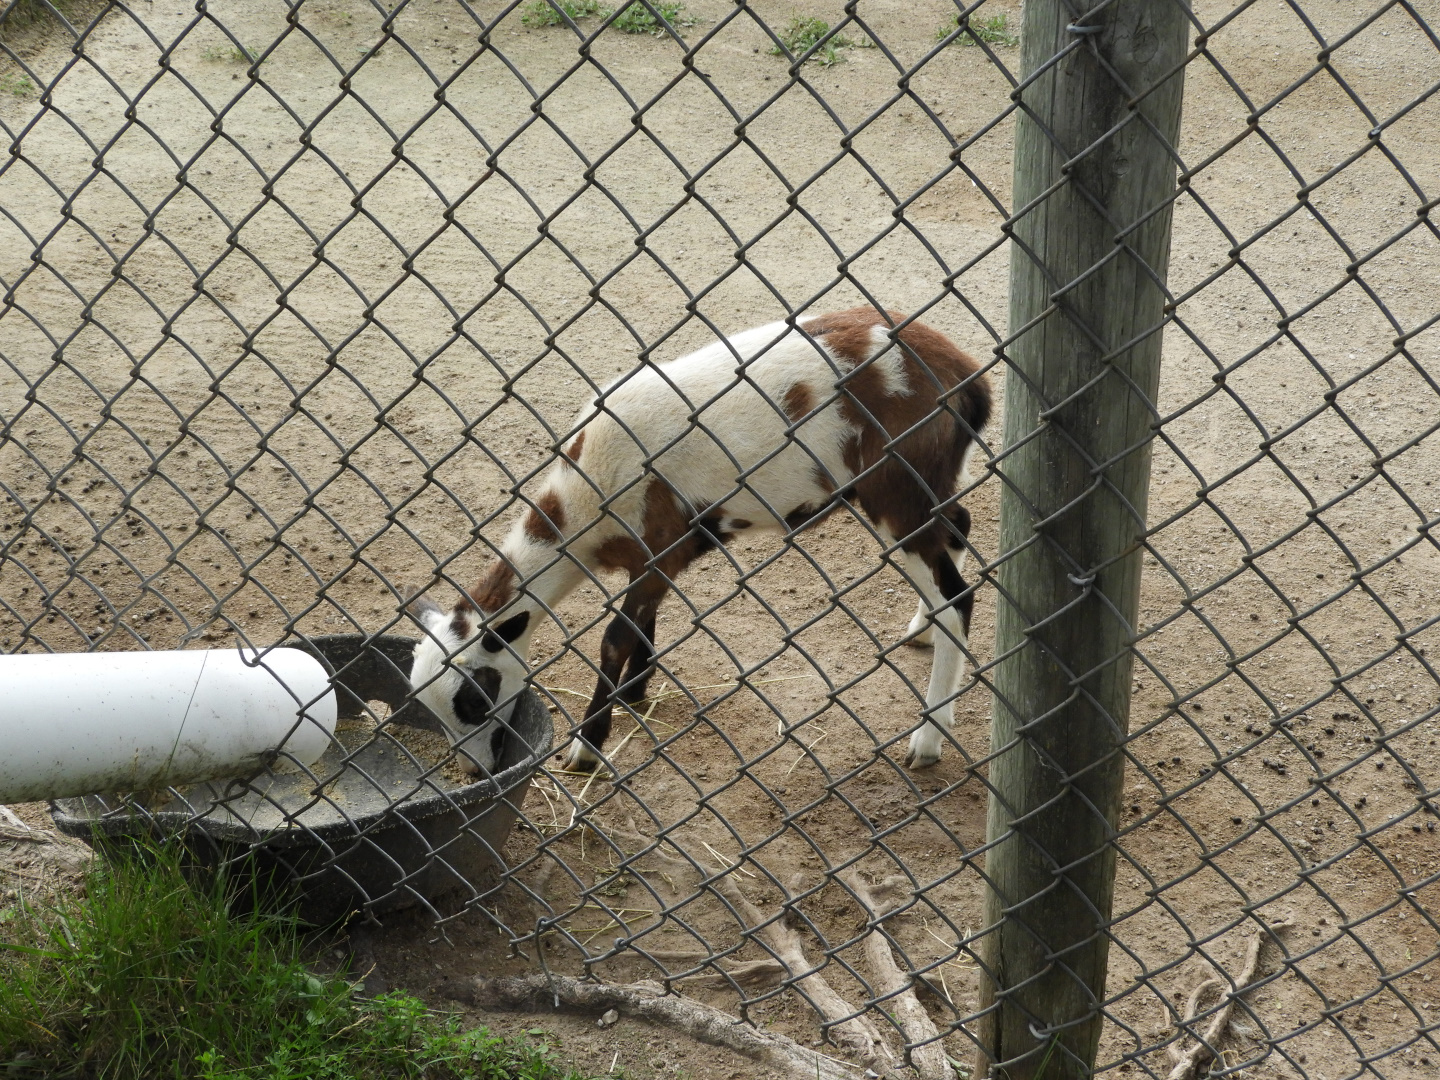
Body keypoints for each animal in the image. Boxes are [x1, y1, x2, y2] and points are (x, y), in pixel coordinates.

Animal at [407, 306, 991, 776]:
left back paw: (928, 739)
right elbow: (642, 624)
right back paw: (920, 629)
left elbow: (615, 637)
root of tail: (964, 377)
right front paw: (637, 691)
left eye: (475, 698)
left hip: (896, 490)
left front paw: (587, 747)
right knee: (958, 526)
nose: (477, 772)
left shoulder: (660, 546)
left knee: (957, 596)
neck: (579, 505)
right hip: (927, 483)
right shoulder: (656, 557)